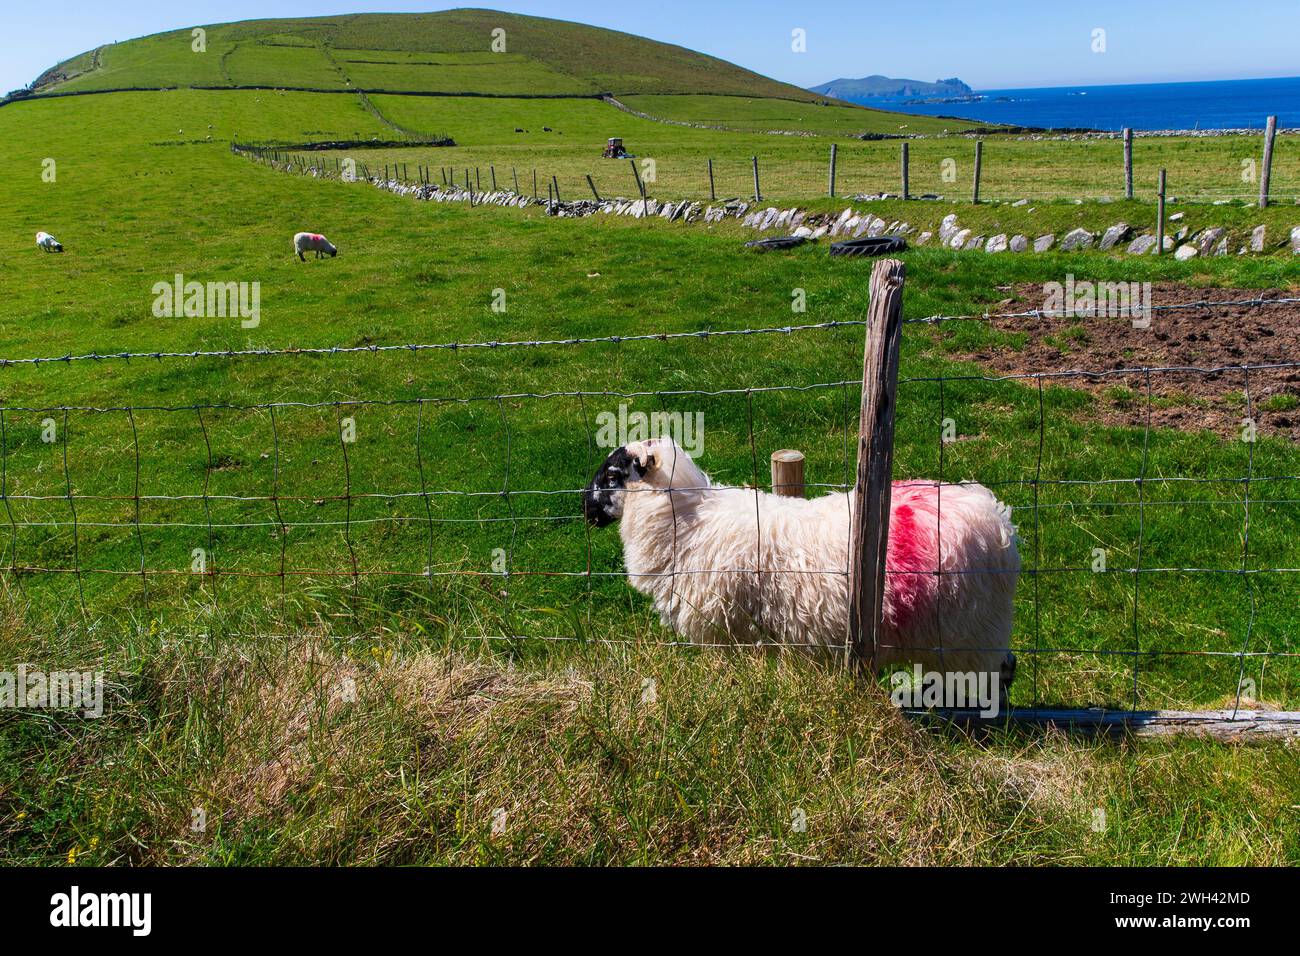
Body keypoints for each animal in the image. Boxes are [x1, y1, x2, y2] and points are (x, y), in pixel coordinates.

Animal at [585, 437, 1019, 691]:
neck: (687, 520)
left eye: (612, 474)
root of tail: (996, 518)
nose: (585, 510)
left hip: (968, 636)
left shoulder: (719, 631)